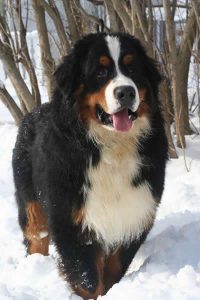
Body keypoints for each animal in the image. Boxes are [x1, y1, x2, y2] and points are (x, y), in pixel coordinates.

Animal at [12, 33, 168, 300]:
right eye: (100, 72)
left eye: (132, 68)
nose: (126, 92)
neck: (111, 147)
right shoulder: (70, 219)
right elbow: (87, 278)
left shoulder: (133, 213)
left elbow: (113, 270)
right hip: (31, 204)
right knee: (36, 238)